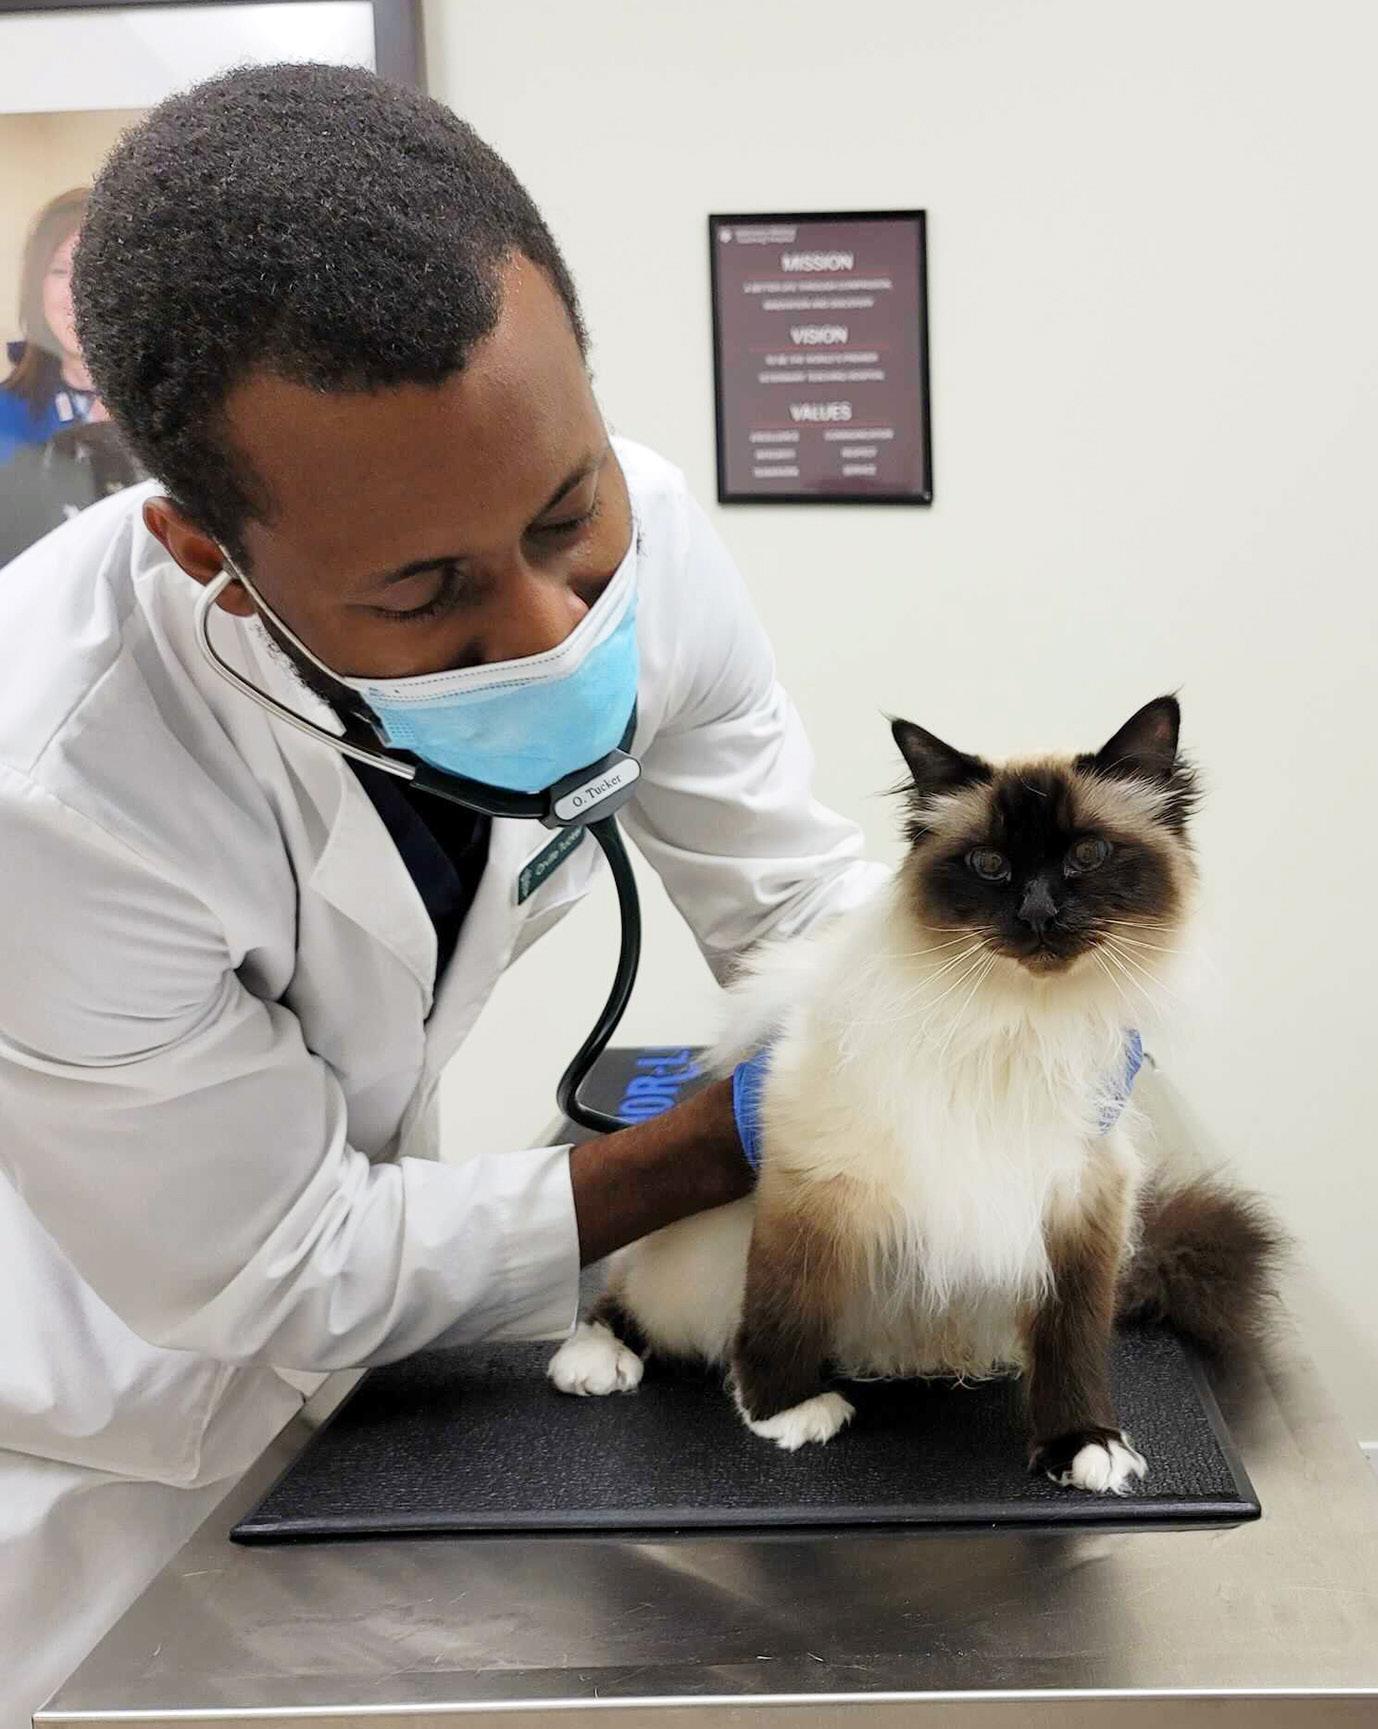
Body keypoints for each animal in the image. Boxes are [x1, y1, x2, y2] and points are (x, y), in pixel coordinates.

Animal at [549, 696, 1281, 1494]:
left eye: (1087, 856)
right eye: (990, 866)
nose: (1039, 913)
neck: (1018, 1022)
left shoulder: (1079, 1200)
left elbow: (1075, 1343)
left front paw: (1084, 1445)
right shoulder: (813, 1181)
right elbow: (782, 1308)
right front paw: (783, 1411)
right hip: (700, 1260)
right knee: (632, 1293)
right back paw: (595, 1357)